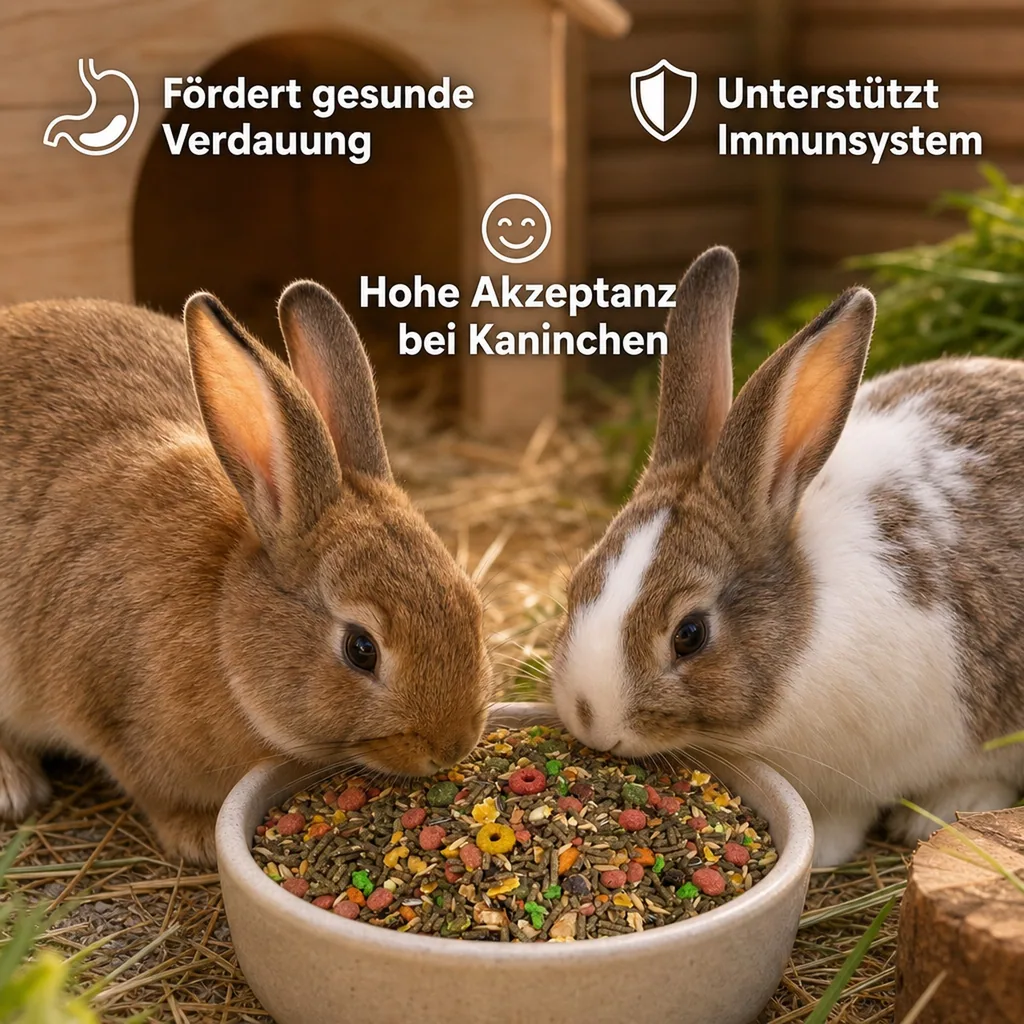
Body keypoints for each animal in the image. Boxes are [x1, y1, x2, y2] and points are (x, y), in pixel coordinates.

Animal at [0, 281, 493, 866]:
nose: (452, 746)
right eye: (361, 649)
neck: (223, 625)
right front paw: (198, 838)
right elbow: (153, 790)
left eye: (473, 607)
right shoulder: (111, 714)